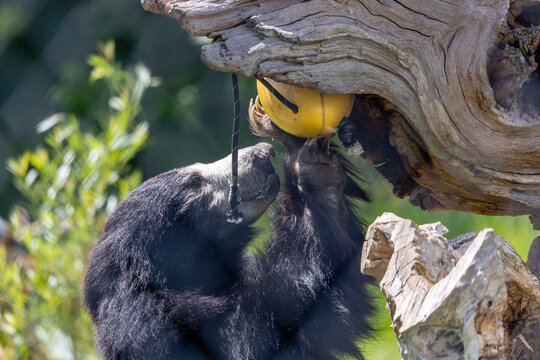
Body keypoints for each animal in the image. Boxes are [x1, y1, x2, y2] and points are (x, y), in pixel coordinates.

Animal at [83, 127, 372, 360]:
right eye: (195, 182)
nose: (262, 152)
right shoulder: (162, 333)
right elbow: (251, 336)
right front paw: (317, 176)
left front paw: (318, 170)